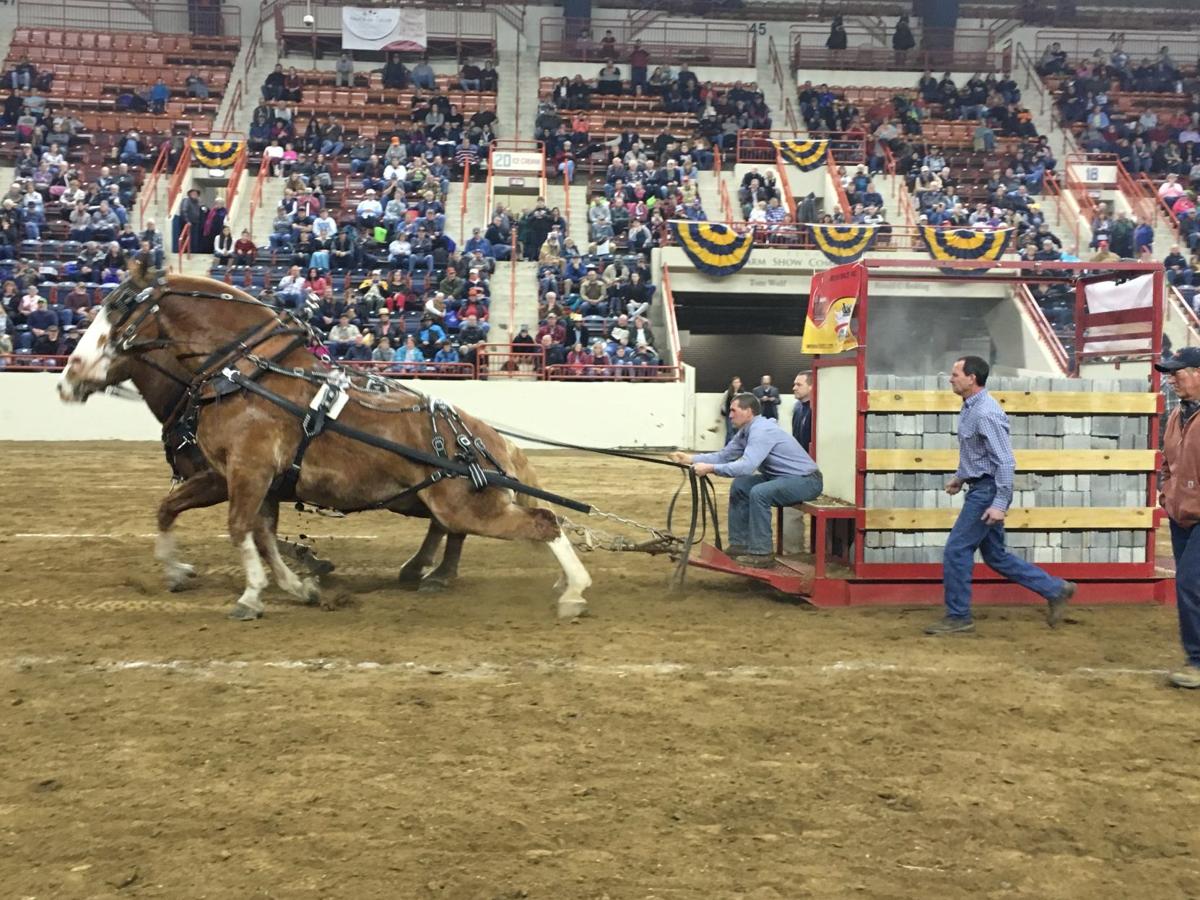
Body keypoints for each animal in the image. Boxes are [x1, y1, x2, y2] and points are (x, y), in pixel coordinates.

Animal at [58, 260, 592, 621]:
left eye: (119, 307)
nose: (68, 376)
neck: (243, 374)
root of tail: (480, 435)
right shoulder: (258, 480)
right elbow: (247, 530)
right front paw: (294, 585)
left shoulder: (243, 470)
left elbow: (238, 528)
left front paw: (252, 593)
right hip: (430, 500)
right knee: (456, 528)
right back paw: (431, 574)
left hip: (464, 504)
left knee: (543, 522)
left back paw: (573, 590)